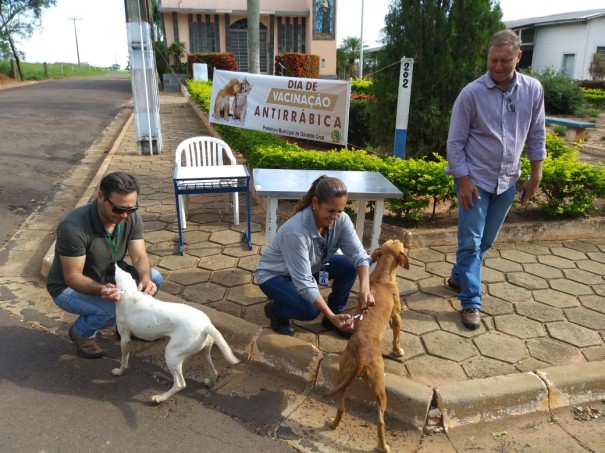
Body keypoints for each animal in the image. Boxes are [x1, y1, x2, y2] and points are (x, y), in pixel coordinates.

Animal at [112, 264, 239, 402]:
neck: (129, 291)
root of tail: (206, 325)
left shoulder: (125, 339)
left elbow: (124, 360)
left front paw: (120, 371)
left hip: (172, 355)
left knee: (180, 384)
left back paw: (160, 398)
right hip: (203, 351)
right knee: (214, 371)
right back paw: (209, 383)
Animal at [324, 238, 408, 450]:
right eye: (401, 244)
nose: (402, 240)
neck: (382, 277)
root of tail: (362, 355)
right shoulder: (396, 316)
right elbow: (396, 336)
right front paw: (397, 350)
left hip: (343, 376)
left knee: (341, 407)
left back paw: (333, 424)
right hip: (380, 388)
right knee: (380, 421)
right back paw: (383, 447)